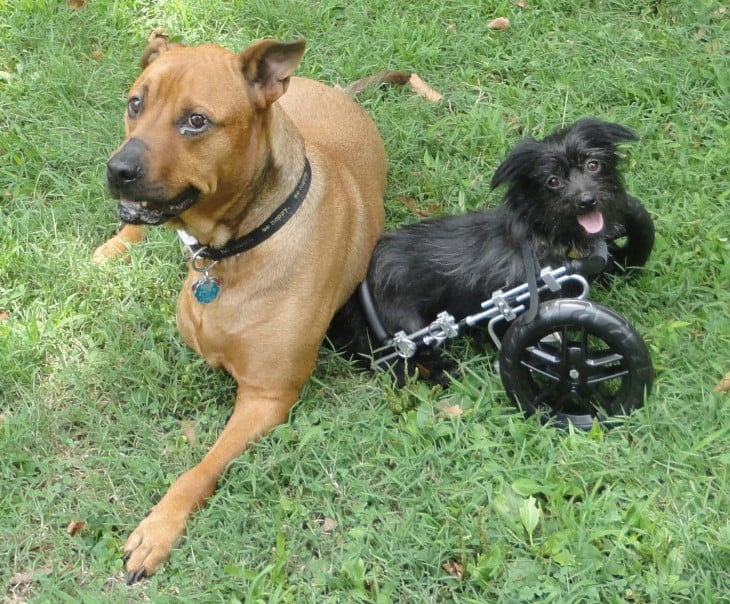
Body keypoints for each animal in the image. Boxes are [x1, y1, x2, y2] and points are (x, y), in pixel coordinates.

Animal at [104, 31, 386, 580]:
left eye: (196, 121)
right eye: (135, 104)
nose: (117, 169)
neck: (235, 246)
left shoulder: (266, 398)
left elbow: (199, 469)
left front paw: (158, 528)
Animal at [328, 117, 644, 378]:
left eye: (593, 164)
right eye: (552, 181)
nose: (587, 200)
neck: (542, 236)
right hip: (404, 329)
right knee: (402, 361)